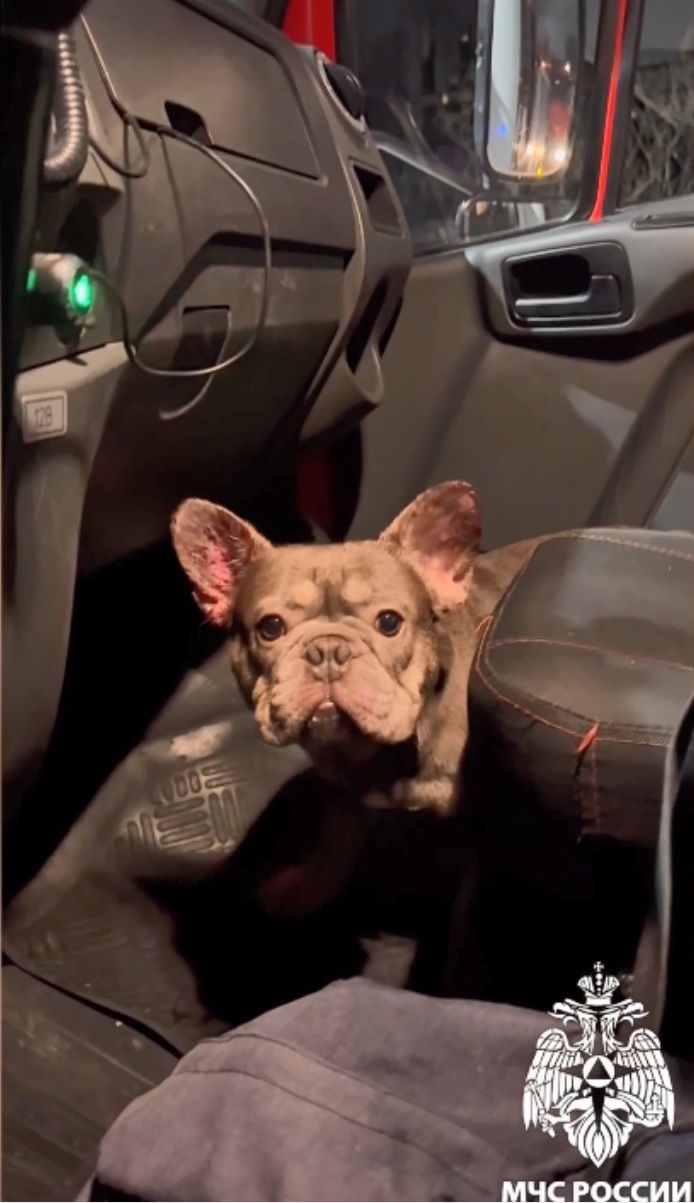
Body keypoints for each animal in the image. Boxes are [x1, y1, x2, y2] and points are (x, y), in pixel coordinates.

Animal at [171, 482, 537, 915]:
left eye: (389, 622)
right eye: (270, 627)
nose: (328, 650)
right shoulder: (344, 799)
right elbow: (335, 847)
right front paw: (303, 893)